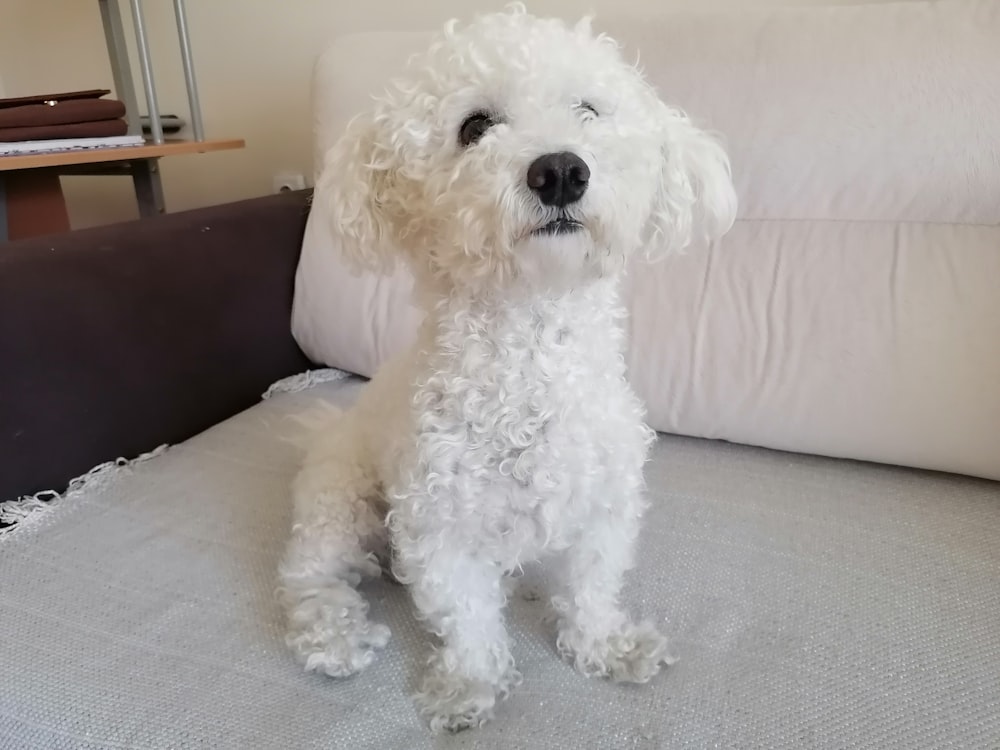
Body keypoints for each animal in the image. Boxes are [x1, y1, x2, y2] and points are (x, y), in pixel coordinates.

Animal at [280, 5, 736, 736]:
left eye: (588, 109)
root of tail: (325, 428)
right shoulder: (439, 527)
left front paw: (608, 647)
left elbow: (593, 586)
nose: (560, 170)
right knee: (308, 575)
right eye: (475, 126)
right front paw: (469, 688)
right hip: (338, 499)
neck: (529, 355)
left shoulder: (605, 507)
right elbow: (466, 617)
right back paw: (334, 634)